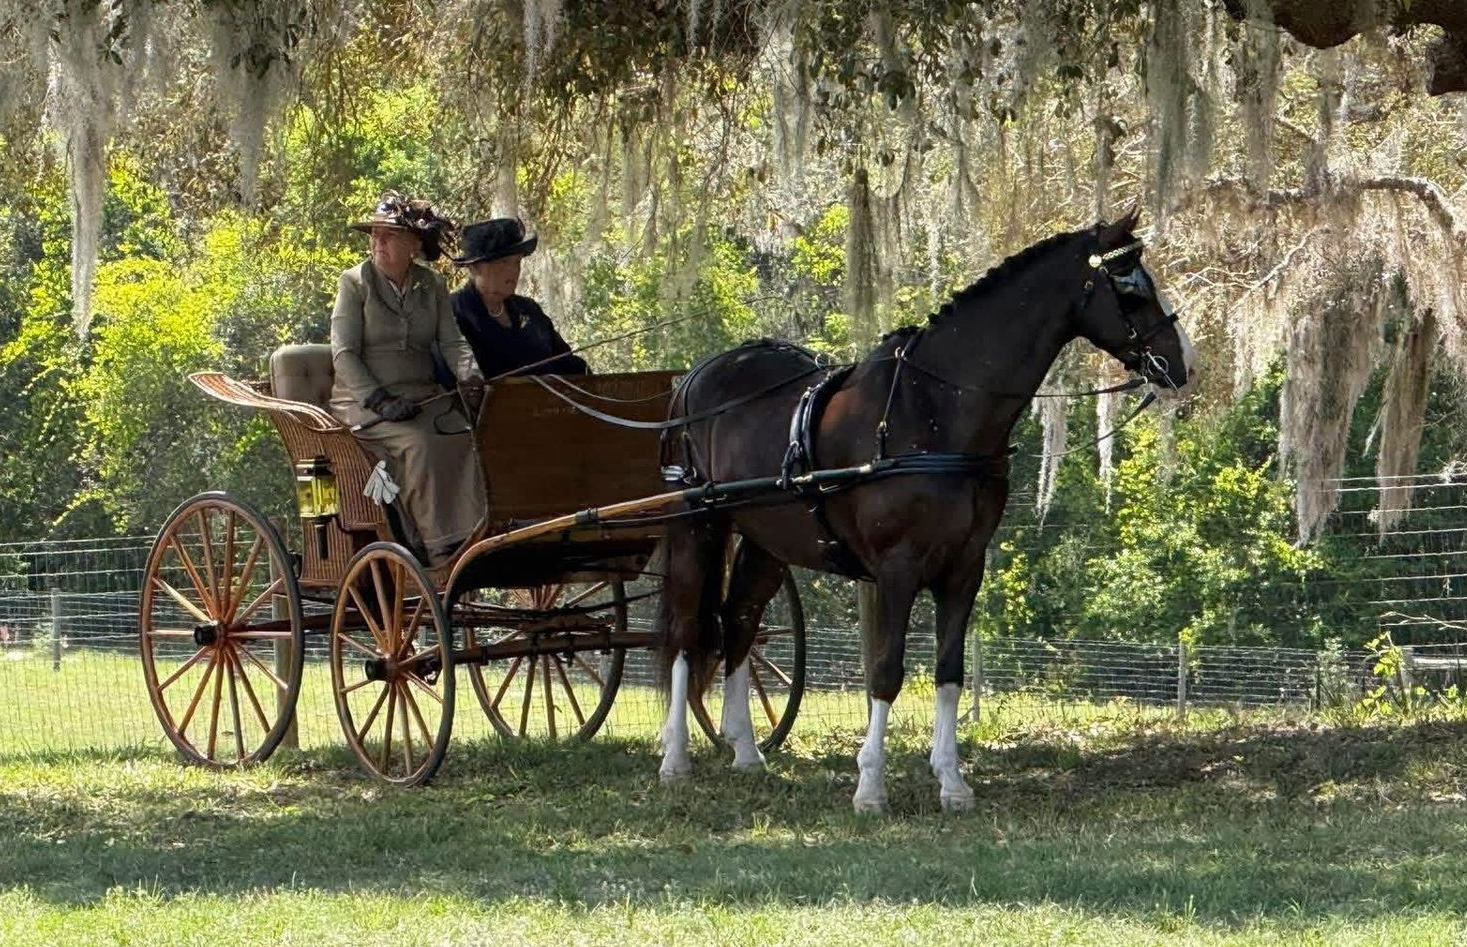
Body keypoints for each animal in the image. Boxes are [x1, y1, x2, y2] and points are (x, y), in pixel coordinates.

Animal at [654, 207, 1195, 813]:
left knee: (739, 621)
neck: (935, 411)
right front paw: (870, 787)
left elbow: (949, 672)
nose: (1184, 364)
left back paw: (747, 751)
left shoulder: (964, 568)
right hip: (696, 529)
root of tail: (695, 377)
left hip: (766, 541)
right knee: (684, 633)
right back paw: (674, 759)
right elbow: (886, 672)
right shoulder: (898, 567)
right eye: (1130, 288)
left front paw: (952, 782)